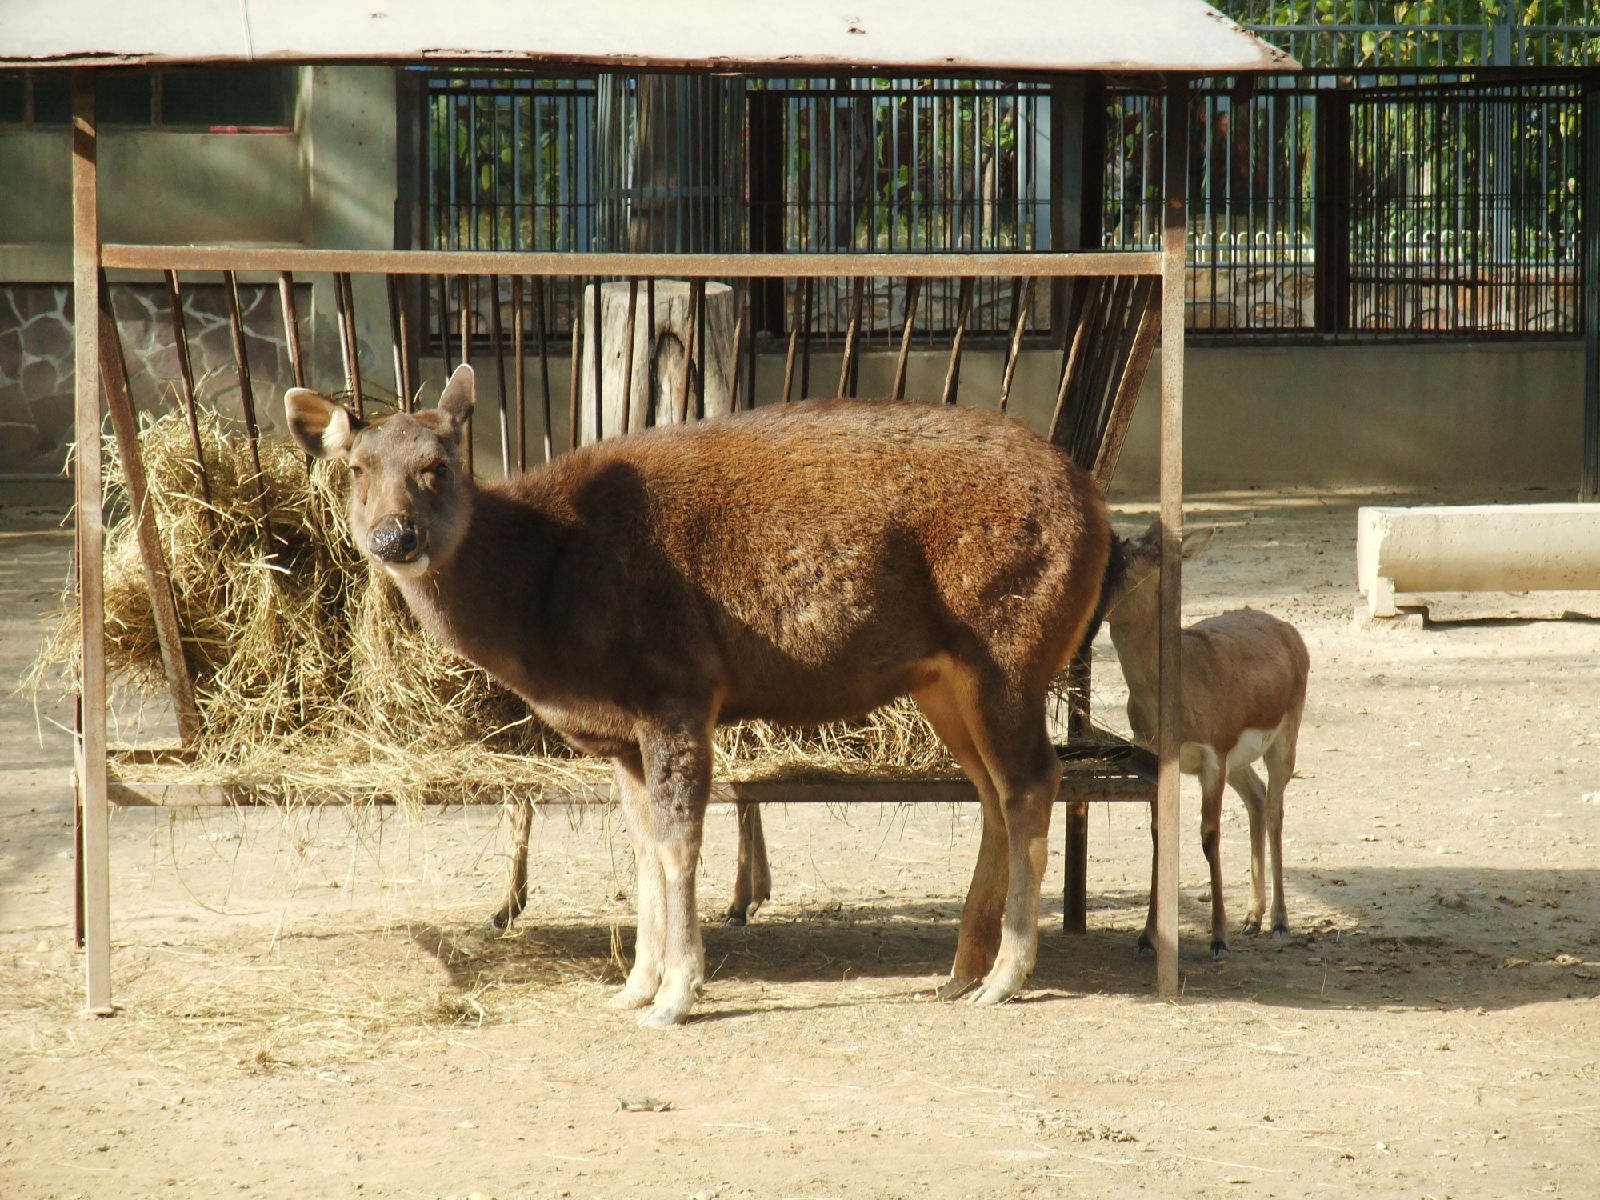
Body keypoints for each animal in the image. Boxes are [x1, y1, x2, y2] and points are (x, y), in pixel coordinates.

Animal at [286, 363, 1117, 1026]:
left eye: (437, 466)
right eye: (356, 467)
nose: (394, 537)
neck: (546, 610)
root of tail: (1098, 504)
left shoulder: (677, 686)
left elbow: (680, 840)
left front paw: (677, 995)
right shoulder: (621, 734)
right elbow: (643, 845)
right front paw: (631, 987)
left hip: (1010, 644)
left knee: (1032, 780)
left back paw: (1005, 975)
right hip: (942, 678)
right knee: (991, 791)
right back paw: (958, 973)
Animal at [1102, 521, 1309, 960]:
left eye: (1152, 555)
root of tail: (1288, 631)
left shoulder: (1213, 757)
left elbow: (1209, 836)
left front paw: (1218, 940)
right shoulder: (1155, 758)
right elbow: (1159, 835)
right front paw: (1147, 938)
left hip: (1284, 739)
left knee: (1275, 808)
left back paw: (1279, 923)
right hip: (1239, 762)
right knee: (1257, 797)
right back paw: (1251, 918)